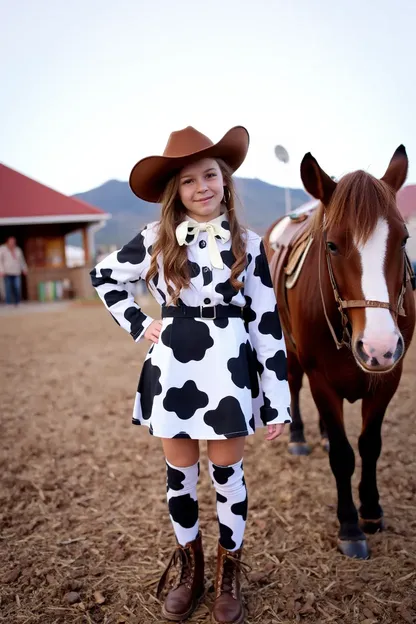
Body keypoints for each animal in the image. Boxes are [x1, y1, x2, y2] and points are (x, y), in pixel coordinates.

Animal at [266, 147, 416, 560]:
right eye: (331, 245)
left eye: (403, 240)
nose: (379, 345)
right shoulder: (321, 378)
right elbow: (343, 457)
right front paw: (349, 525)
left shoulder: (389, 377)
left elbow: (369, 445)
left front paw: (372, 510)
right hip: (290, 348)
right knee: (293, 384)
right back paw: (300, 436)